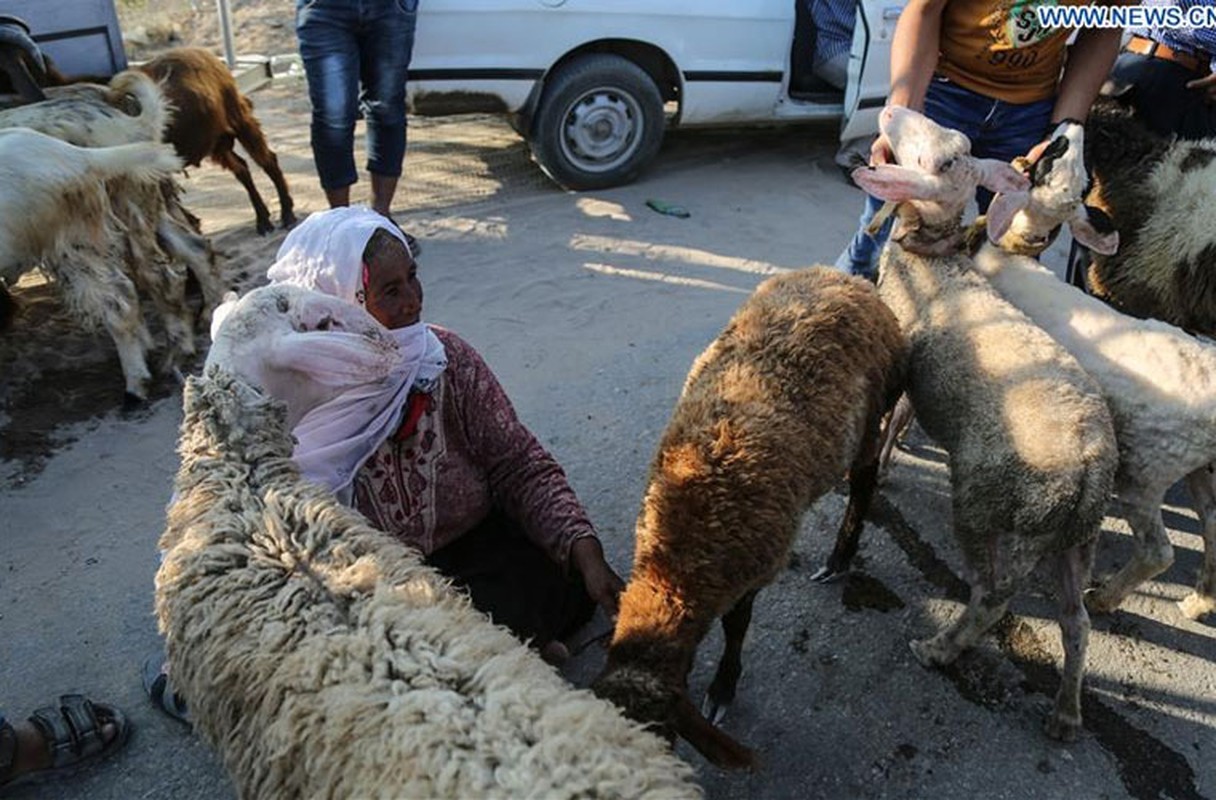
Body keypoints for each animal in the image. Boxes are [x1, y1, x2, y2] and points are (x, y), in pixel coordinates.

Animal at [138, 48, 296, 233]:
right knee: (242, 169)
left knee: (268, 161)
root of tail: (208, 56)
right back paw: (263, 220)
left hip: (240, 121)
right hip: (216, 144)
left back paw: (287, 215)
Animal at [593, 266, 909, 768]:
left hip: (875, 406)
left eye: (663, 740)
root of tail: (849, 280)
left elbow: (736, 628)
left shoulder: (751, 566)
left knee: (864, 480)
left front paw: (723, 687)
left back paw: (839, 559)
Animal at [972, 121, 1216, 620]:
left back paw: (1104, 597)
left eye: (1052, 157)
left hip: (1147, 471)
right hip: (1198, 467)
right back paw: (1198, 602)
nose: (1070, 123)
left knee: (1159, 551)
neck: (1011, 255)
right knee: (1215, 527)